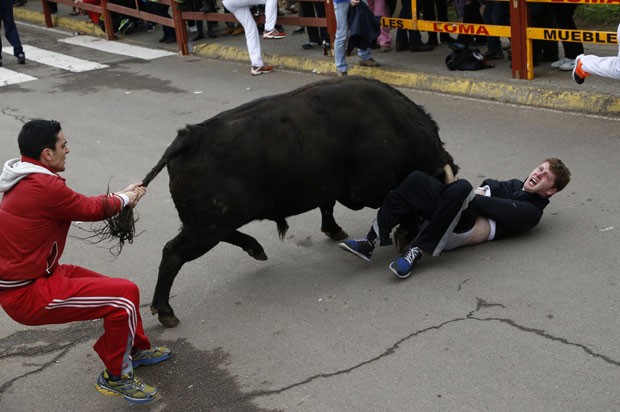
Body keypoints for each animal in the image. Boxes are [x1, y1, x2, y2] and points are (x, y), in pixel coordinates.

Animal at [126, 78, 458, 328]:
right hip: (206, 227)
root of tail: (188, 138)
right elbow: (396, 202)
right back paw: (165, 312)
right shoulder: (366, 190)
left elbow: (327, 205)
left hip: (210, 223)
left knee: (221, 237)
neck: (393, 124)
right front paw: (405, 232)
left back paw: (256, 249)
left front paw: (335, 230)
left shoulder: (331, 188)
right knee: (172, 254)